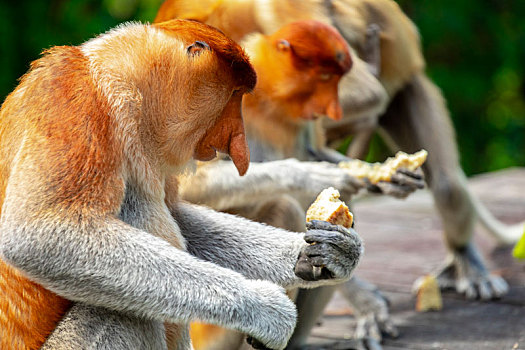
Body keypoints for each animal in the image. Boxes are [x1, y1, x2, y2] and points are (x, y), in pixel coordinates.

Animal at [0, 19, 362, 350]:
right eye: (234, 95)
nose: (238, 145)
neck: (114, 82)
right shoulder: (72, 96)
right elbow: (39, 233)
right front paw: (267, 309)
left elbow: (181, 217)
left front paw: (329, 253)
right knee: (124, 313)